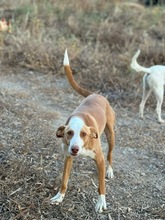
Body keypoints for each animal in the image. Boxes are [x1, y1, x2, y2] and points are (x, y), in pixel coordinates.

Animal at [50, 49, 114, 211]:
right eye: (69, 133)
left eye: (84, 134)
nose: (75, 149)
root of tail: (95, 94)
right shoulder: (68, 158)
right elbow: (64, 180)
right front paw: (59, 197)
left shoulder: (100, 159)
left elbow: (101, 185)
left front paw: (101, 202)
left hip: (111, 135)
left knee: (110, 154)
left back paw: (110, 171)